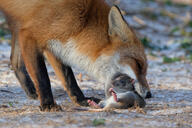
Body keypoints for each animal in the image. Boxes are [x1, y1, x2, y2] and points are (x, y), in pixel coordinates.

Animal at [0, 0, 152, 111]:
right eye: (138, 64)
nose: (149, 95)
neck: (83, 22)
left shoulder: (53, 45)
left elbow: (68, 78)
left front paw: (81, 100)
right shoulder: (30, 35)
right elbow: (43, 78)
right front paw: (48, 104)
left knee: (14, 61)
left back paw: (30, 91)